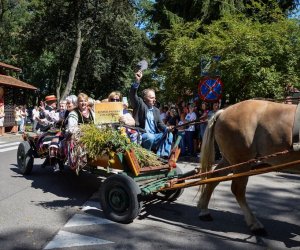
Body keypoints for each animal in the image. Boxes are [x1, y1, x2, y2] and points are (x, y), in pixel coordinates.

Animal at [198, 98, 298, 235]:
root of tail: (224, 111)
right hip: (242, 162)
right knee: (237, 190)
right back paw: (254, 224)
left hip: (230, 160)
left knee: (214, 178)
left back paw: (204, 211)